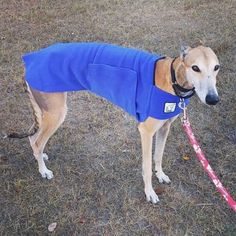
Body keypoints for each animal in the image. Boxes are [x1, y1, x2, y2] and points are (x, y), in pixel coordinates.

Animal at [7, 43, 219, 204]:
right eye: (195, 67)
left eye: (216, 67)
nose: (213, 99)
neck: (171, 78)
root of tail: (30, 59)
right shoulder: (146, 131)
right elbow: (146, 166)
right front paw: (149, 192)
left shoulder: (164, 128)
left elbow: (158, 156)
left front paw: (160, 175)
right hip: (56, 112)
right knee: (36, 141)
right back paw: (43, 170)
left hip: (46, 112)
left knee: (34, 139)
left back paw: (41, 157)